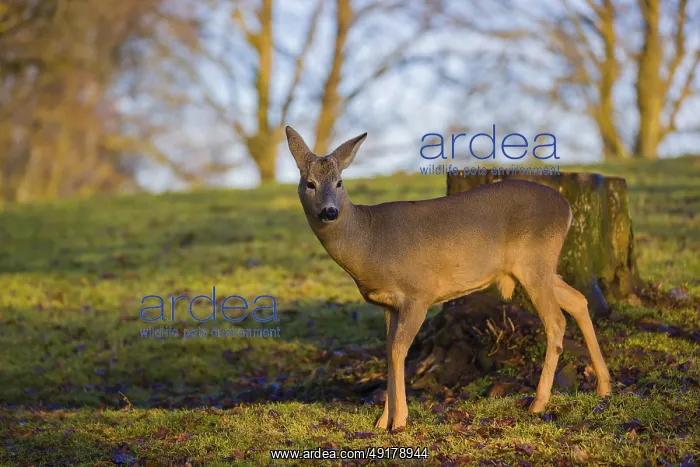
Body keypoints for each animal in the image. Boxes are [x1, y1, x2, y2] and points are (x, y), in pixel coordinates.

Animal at [284, 126, 612, 431]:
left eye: (339, 182)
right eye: (310, 183)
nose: (329, 211)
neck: (369, 242)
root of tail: (567, 207)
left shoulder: (418, 293)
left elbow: (399, 351)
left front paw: (399, 421)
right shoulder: (389, 305)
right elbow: (389, 352)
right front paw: (382, 421)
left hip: (535, 261)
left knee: (556, 320)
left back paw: (539, 403)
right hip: (537, 267)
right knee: (578, 300)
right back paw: (604, 386)